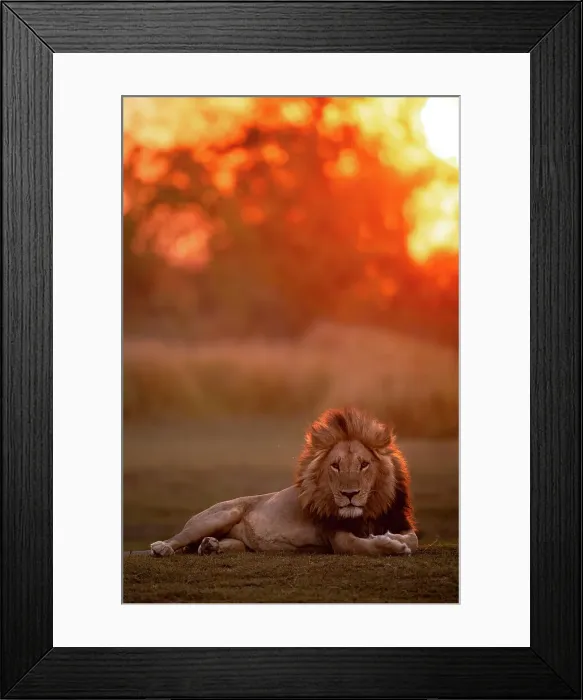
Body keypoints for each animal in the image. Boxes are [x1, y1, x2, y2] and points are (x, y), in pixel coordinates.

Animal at [149, 407, 418, 558]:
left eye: (364, 465)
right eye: (335, 465)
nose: (349, 494)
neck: (369, 509)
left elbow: (413, 539)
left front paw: (395, 540)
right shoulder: (335, 536)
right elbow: (360, 546)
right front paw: (392, 547)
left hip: (238, 543)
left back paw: (209, 547)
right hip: (219, 515)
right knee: (181, 538)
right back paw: (162, 548)